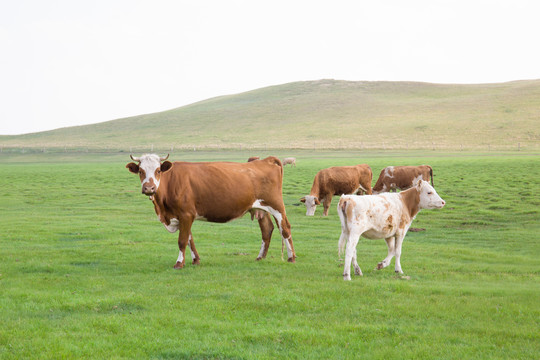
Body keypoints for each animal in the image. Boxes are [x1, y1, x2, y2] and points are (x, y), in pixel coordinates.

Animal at [126, 153, 296, 268]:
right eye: (140, 171)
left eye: (158, 171)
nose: (149, 188)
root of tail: (265, 160)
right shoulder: (184, 216)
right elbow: (190, 239)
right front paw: (195, 260)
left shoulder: (186, 214)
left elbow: (182, 240)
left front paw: (179, 263)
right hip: (260, 208)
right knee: (267, 229)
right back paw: (260, 257)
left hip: (276, 206)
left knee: (285, 228)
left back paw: (291, 258)